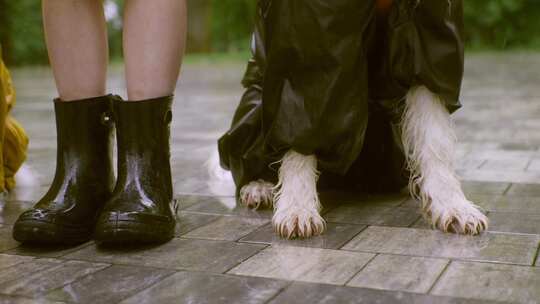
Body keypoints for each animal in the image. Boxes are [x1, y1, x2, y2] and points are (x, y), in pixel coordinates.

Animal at [215, 0, 490, 238]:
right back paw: (258, 186)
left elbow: (434, 136)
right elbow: (304, 123)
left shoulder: (429, 31)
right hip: (253, 105)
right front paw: (297, 208)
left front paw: (453, 206)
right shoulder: (311, 28)